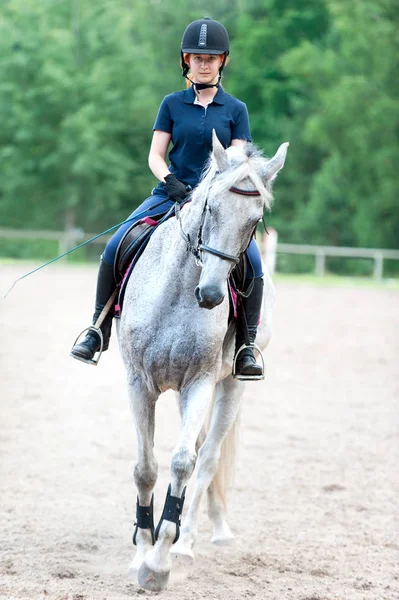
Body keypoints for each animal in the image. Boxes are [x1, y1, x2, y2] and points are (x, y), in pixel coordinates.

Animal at [117, 132, 290, 592]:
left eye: (254, 220)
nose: (211, 294)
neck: (177, 292)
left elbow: (183, 463)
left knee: (207, 457)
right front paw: (140, 551)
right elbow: (145, 468)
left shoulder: (200, 383)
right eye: (210, 207)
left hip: (230, 386)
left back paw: (188, 541)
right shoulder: (139, 383)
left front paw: (158, 563)